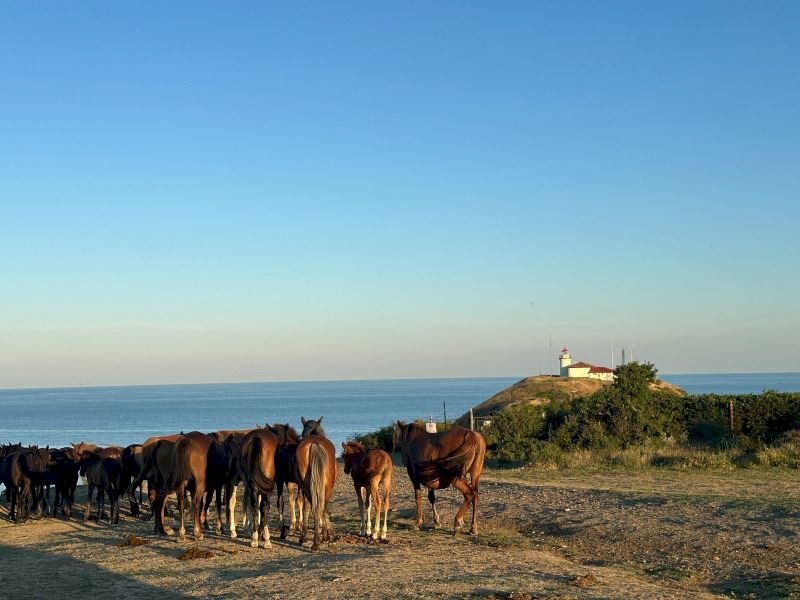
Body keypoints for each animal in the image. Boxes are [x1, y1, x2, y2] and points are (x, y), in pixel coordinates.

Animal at [296, 420, 336, 552]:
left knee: (315, 508)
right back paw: (321, 540)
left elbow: (305, 508)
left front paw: (303, 536)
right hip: (326, 488)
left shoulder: (303, 489)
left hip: (308, 488)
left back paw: (315, 542)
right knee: (321, 508)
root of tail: (315, 444)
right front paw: (326, 536)